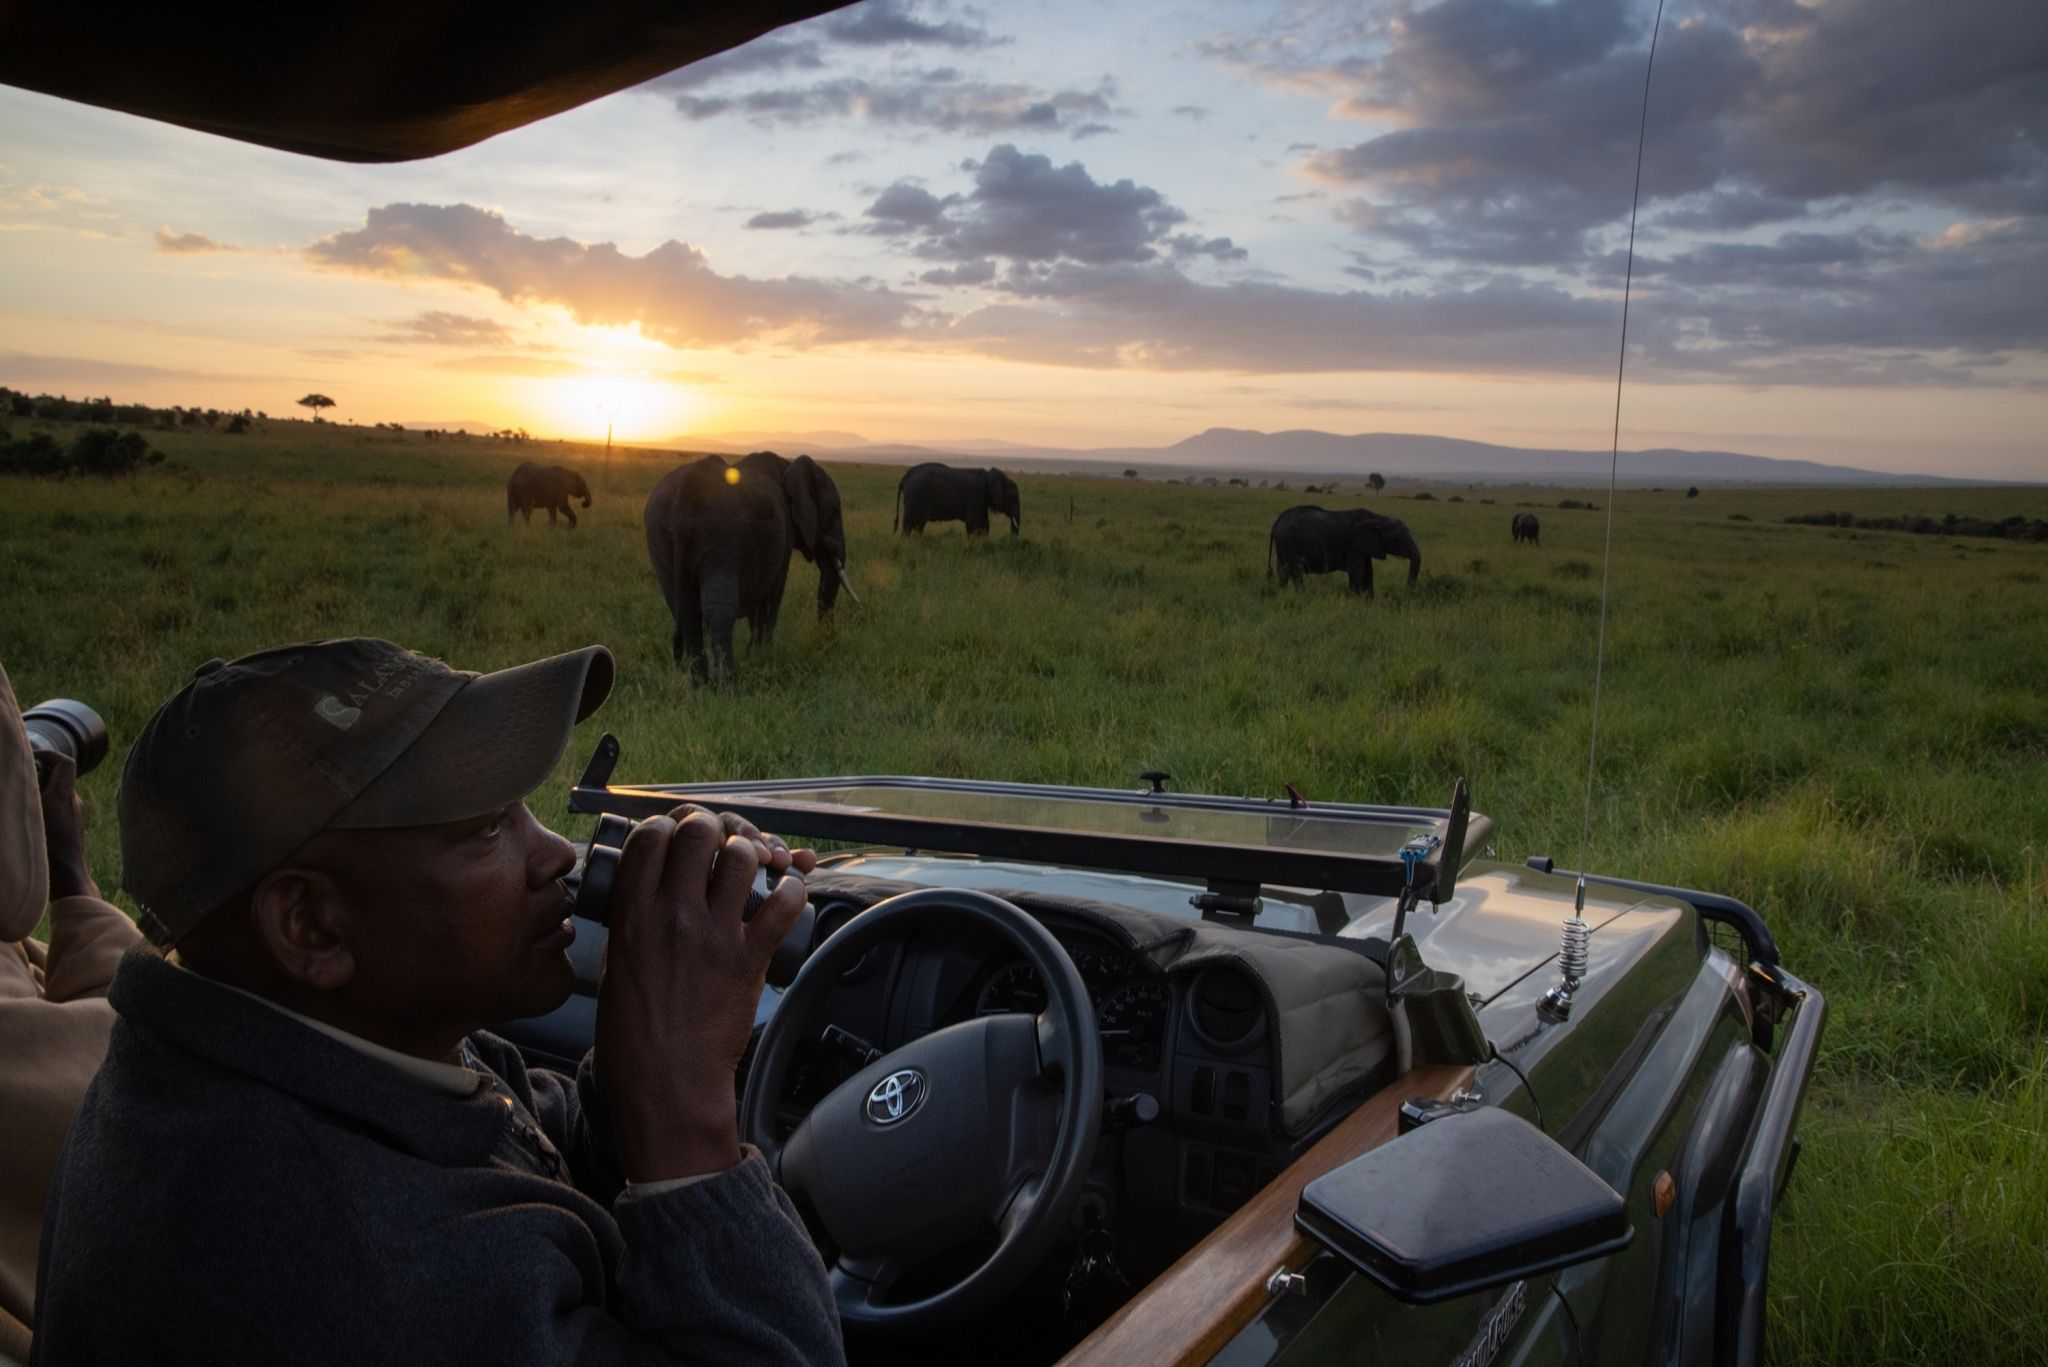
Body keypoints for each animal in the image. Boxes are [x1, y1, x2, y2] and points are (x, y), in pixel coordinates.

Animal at [647, 448, 856, 684]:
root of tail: (683, 496)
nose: (826, 642)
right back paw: (727, 685)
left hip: (659, 537)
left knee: (684, 610)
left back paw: (700, 684)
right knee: (718, 611)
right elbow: (773, 592)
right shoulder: (784, 533)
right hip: (719, 536)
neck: (789, 466)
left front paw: (753, 655)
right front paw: (763, 656)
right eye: (836, 510)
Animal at [1261, 506, 1425, 594]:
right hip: (1288, 542)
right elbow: (1358, 573)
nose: (1405, 592)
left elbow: (1368, 573)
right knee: (1296, 571)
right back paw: (1302, 595)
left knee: (1283, 571)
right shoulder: (1352, 545)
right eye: (1398, 539)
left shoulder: (1363, 546)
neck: (1377, 518)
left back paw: (1282, 594)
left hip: (1283, 545)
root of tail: (1276, 522)